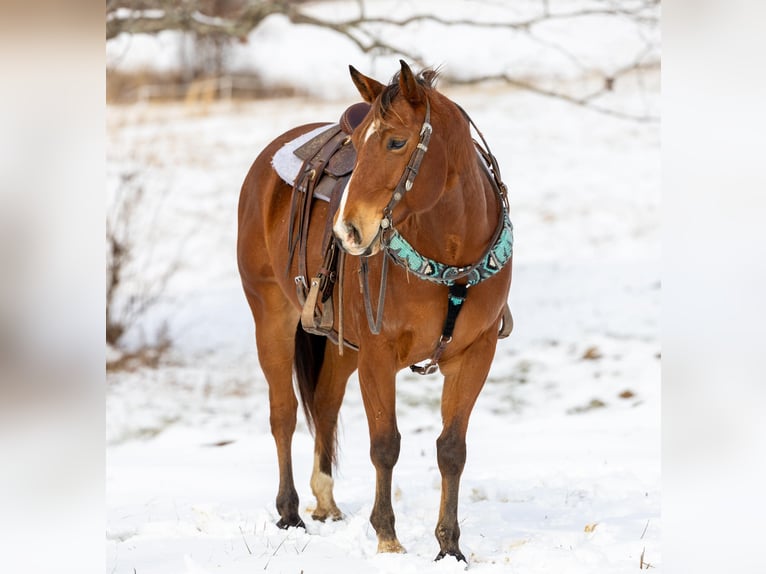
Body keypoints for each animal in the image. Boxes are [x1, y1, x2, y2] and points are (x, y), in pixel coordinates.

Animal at [238, 62, 516, 564]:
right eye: (358, 142)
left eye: (396, 143)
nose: (348, 230)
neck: (450, 253)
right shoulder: (378, 354)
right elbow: (385, 444)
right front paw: (387, 536)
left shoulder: (476, 353)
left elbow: (452, 449)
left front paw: (449, 546)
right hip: (271, 317)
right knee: (284, 412)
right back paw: (290, 512)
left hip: (342, 345)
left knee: (325, 404)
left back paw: (325, 501)